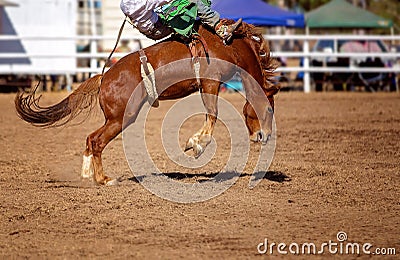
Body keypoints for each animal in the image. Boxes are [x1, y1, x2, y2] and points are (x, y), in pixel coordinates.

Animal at [15, 22, 278, 185]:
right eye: (268, 108)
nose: (263, 136)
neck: (229, 46)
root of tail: (104, 77)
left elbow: (211, 114)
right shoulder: (210, 82)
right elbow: (212, 114)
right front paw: (196, 144)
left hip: (116, 118)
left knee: (90, 139)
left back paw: (87, 174)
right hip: (121, 117)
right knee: (97, 141)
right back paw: (105, 180)